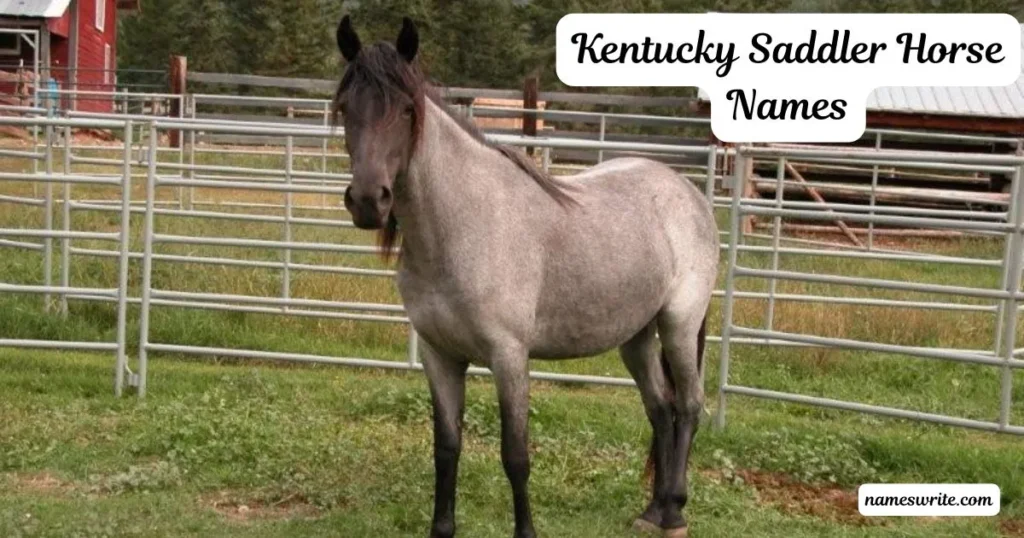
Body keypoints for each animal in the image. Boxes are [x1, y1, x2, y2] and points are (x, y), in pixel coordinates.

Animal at [332, 15, 720, 538]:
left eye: (408, 110)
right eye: (345, 108)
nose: (369, 201)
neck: (462, 225)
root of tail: (687, 191)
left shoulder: (509, 357)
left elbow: (515, 455)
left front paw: (526, 531)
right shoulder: (440, 356)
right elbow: (446, 449)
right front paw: (442, 529)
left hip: (678, 324)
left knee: (689, 406)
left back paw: (675, 511)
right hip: (635, 335)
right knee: (659, 409)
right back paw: (652, 510)